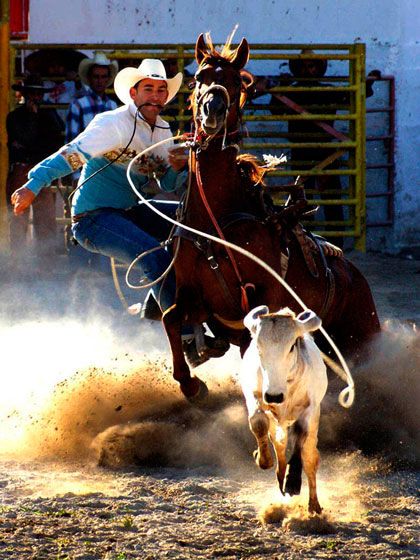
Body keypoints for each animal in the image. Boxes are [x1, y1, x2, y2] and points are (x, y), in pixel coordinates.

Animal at [162, 31, 380, 402]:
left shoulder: (260, 300)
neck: (214, 221)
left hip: (362, 337)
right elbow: (170, 318)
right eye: (198, 78)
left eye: (237, 81)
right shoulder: (198, 298)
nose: (213, 109)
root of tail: (356, 276)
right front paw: (191, 384)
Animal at [240, 306, 328, 512]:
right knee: (279, 445)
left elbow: (300, 435)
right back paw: (280, 474)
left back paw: (314, 506)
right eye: (258, 347)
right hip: (277, 423)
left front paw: (293, 480)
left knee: (310, 459)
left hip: (313, 426)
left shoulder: (310, 408)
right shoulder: (253, 395)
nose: (274, 396)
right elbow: (258, 423)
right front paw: (262, 459)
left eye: (291, 346)